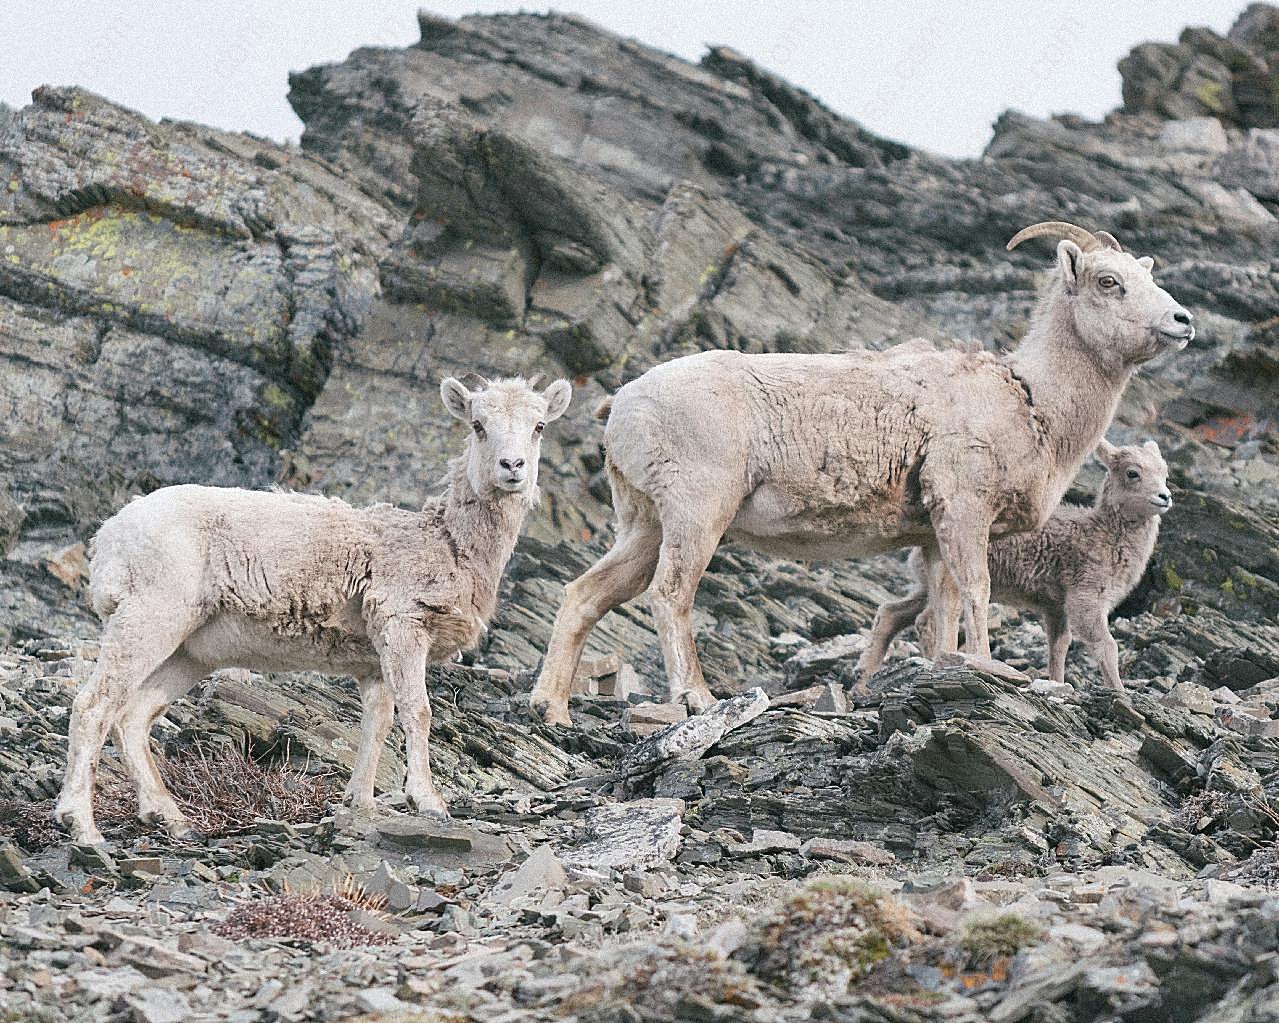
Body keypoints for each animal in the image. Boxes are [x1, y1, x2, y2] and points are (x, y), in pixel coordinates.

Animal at [56, 370, 570, 843]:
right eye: (479, 425)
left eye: (539, 425)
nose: (512, 465)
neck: (446, 543)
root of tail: (109, 535)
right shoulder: (403, 628)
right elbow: (417, 711)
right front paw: (428, 802)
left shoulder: (374, 664)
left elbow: (377, 724)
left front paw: (359, 805)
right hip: (148, 620)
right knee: (93, 706)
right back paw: (83, 827)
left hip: (189, 652)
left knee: (134, 714)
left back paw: (169, 818)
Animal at [859, 442, 1171, 695]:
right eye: (1132, 473)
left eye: (1165, 472)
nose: (1165, 496)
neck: (1101, 533)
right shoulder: (1086, 600)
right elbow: (1107, 646)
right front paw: (1119, 690)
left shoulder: (1056, 608)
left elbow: (1058, 647)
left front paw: (1057, 684)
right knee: (927, 621)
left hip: (924, 587)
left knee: (891, 614)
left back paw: (862, 685)